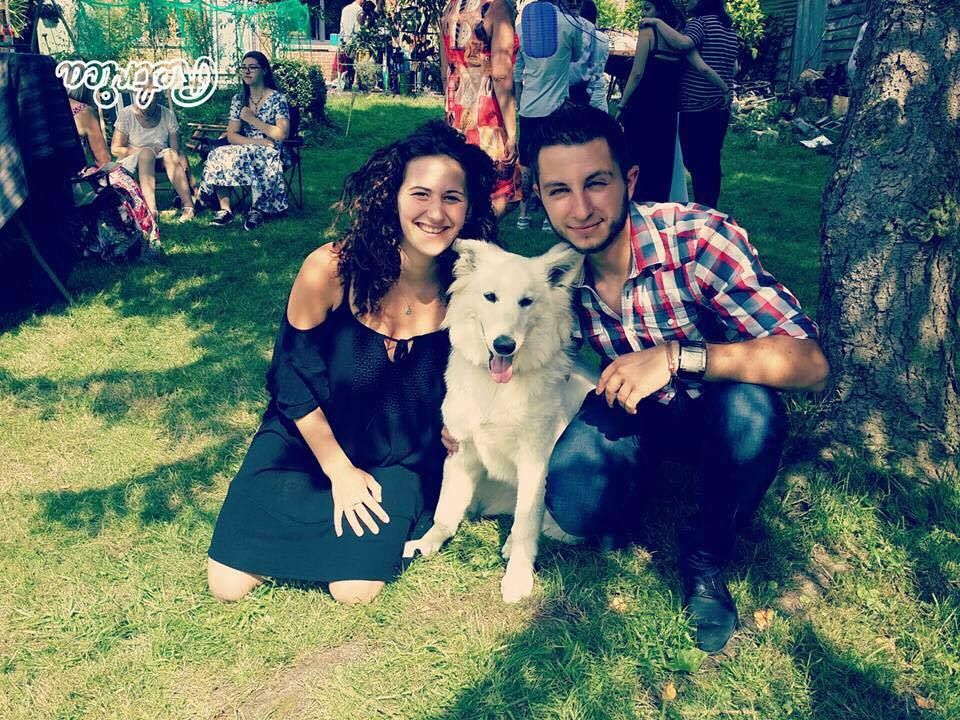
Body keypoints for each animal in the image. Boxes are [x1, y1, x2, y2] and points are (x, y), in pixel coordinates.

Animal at [404, 240, 594, 603]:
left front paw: (517, 578)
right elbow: (445, 509)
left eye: (526, 301)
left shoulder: (534, 463)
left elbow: (525, 525)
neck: (497, 389)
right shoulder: (461, 451)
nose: (504, 345)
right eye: (490, 297)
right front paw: (427, 542)